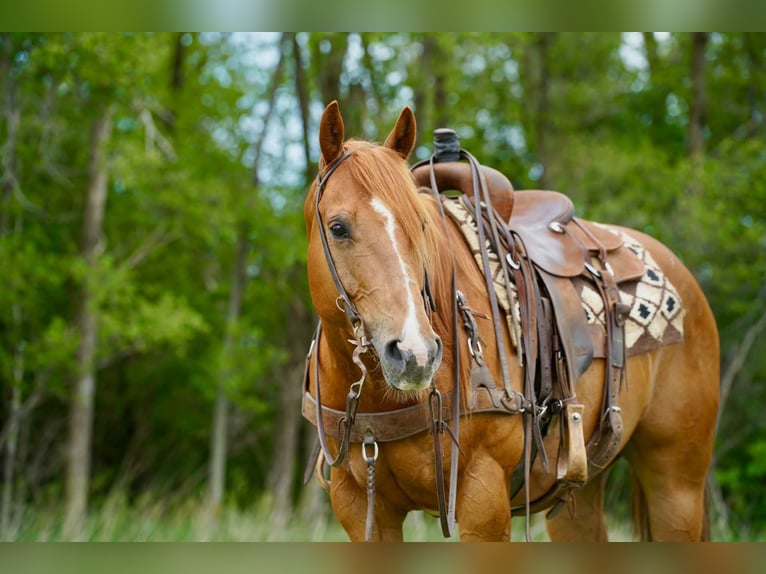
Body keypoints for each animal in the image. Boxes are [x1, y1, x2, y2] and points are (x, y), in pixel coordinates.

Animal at [301, 101, 720, 541]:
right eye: (338, 228)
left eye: (421, 225)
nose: (415, 354)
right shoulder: (360, 508)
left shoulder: (483, 502)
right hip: (580, 496)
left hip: (676, 485)